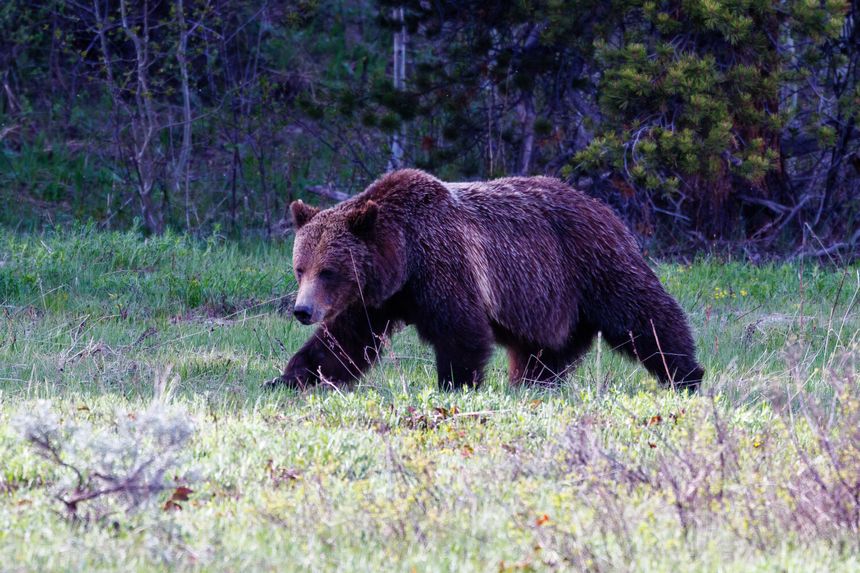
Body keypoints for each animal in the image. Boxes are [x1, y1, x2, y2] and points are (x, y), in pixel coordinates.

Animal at [268, 169, 704, 391]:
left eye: (328, 270)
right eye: (300, 268)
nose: (303, 310)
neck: (403, 259)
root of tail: (604, 208)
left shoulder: (444, 265)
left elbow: (461, 331)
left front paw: (456, 383)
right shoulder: (375, 300)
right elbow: (343, 342)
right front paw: (290, 377)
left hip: (591, 264)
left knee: (642, 313)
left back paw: (685, 372)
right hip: (548, 299)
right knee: (546, 348)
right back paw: (531, 381)